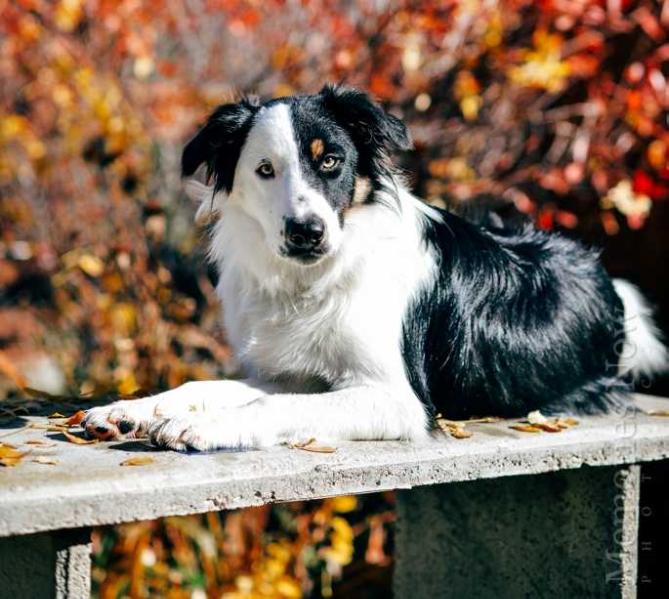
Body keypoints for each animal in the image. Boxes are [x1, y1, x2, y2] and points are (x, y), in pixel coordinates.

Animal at [81, 83, 664, 450]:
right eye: (265, 170)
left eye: (331, 160)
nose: (306, 231)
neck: (317, 278)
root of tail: (610, 285)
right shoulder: (292, 375)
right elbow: (207, 388)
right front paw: (133, 409)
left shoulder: (397, 400)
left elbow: (273, 408)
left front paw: (200, 428)